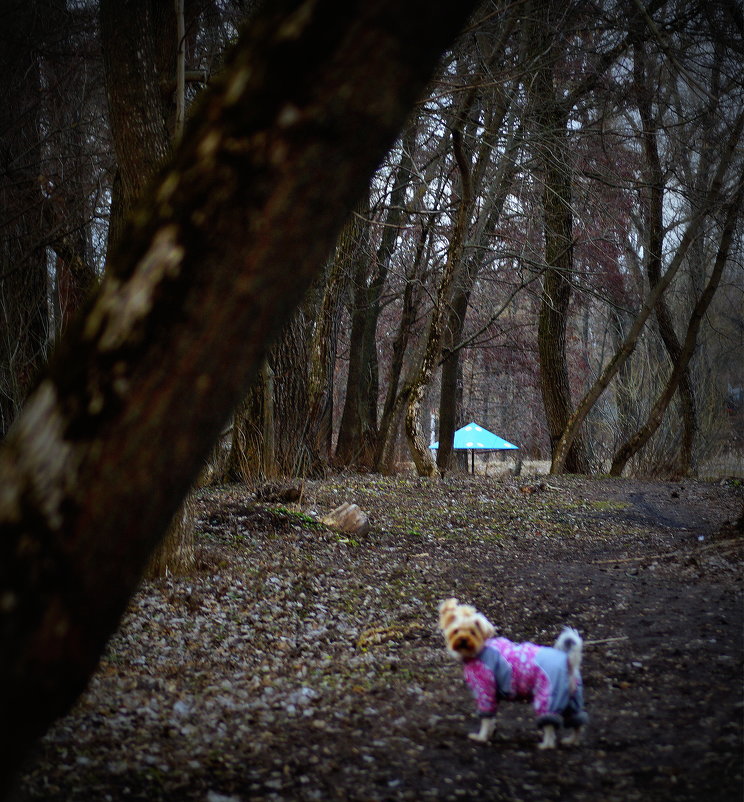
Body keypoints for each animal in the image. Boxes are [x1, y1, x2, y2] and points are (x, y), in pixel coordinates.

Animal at [436, 596, 588, 748]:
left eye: (473, 632)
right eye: (456, 631)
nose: (463, 639)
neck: (478, 651)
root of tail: (568, 661)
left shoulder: (485, 690)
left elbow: (486, 719)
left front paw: (481, 737)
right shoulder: (493, 694)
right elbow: (491, 719)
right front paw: (490, 733)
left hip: (548, 695)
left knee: (549, 725)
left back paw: (545, 745)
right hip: (572, 700)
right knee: (577, 723)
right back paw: (571, 740)